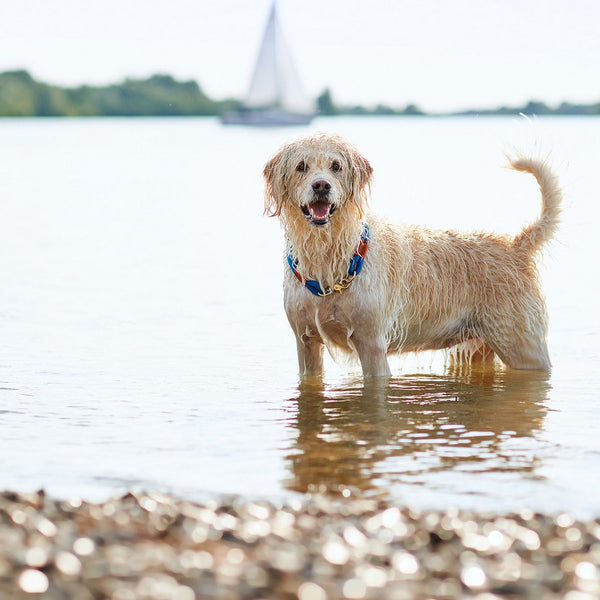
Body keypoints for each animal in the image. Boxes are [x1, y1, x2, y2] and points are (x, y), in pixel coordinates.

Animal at [264, 134, 564, 378]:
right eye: (301, 166)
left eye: (336, 166)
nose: (321, 186)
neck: (327, 254)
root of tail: (516, 246)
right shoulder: (306, 344)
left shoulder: (372, 345)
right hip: (480, 347)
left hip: (523, 347)